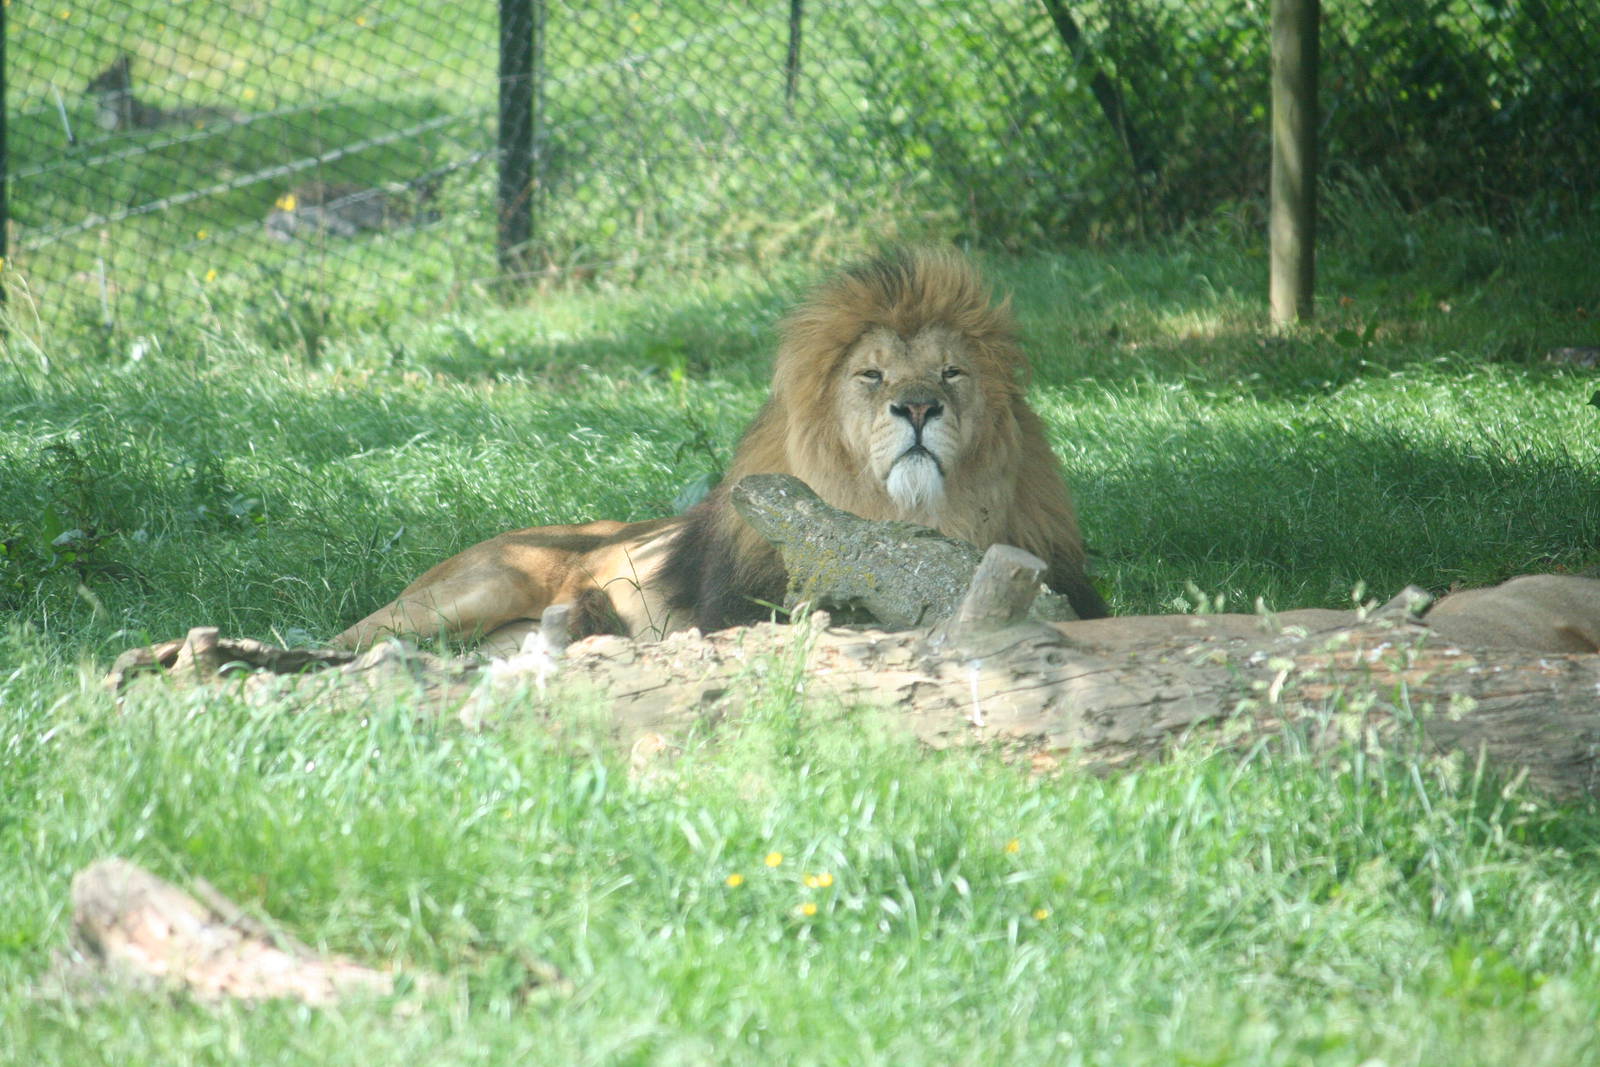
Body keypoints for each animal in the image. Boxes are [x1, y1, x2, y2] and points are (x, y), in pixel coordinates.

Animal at [334, 247, 1107, 653]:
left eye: (952, 373)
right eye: (872, 375)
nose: (918, 407)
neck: (911, 520)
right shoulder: (737, 611)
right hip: (479, 586)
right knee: (349, 638)